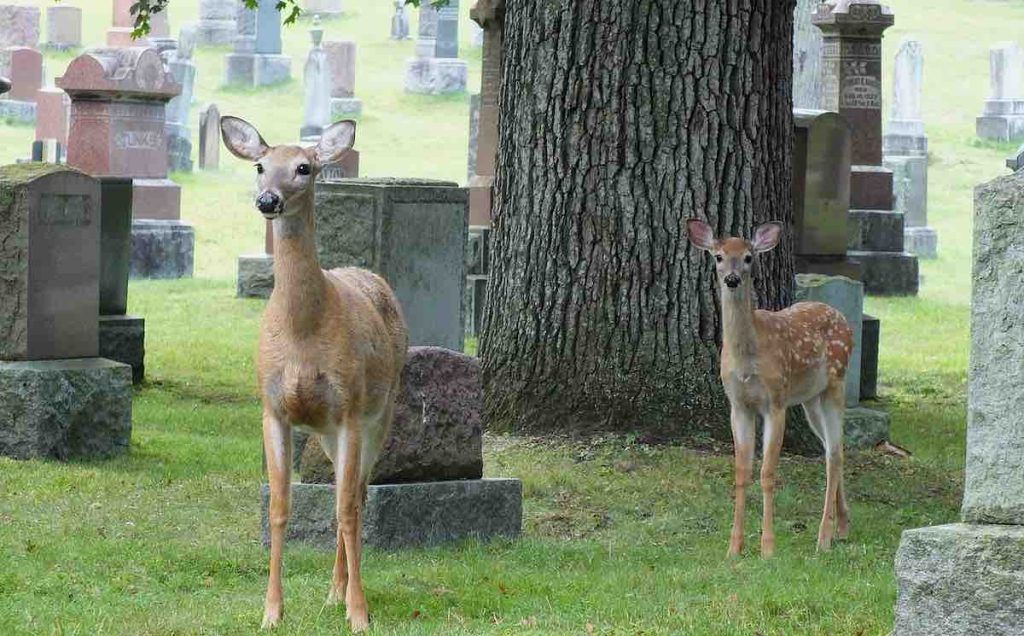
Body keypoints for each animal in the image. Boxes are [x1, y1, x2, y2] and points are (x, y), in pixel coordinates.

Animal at [224, 115, 407, 630]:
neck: (303, 335)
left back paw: (343, 594)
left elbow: (346, 509)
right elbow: (279, 507)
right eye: (260, 166)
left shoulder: (348, 410)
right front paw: (271, 612)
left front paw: (360, 615)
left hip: (380, 413)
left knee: (358, 495)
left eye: (304, 168)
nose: (268, 200)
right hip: (323, 432)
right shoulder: (273, 409)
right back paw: (332, 591)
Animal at [688, 219, 856, 557]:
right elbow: (742, 471)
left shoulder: (775, 403)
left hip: (836, 383)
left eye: (749, 257)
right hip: (809, 400)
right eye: (718, 256)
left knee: (833, 454)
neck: (747, 361)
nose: (732, 279)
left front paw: (767, 547)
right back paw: (843, 527)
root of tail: (843, 319)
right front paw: (734, 547)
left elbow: (767, 473)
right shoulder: (738, 406)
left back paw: (824, 537)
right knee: (834, 449)